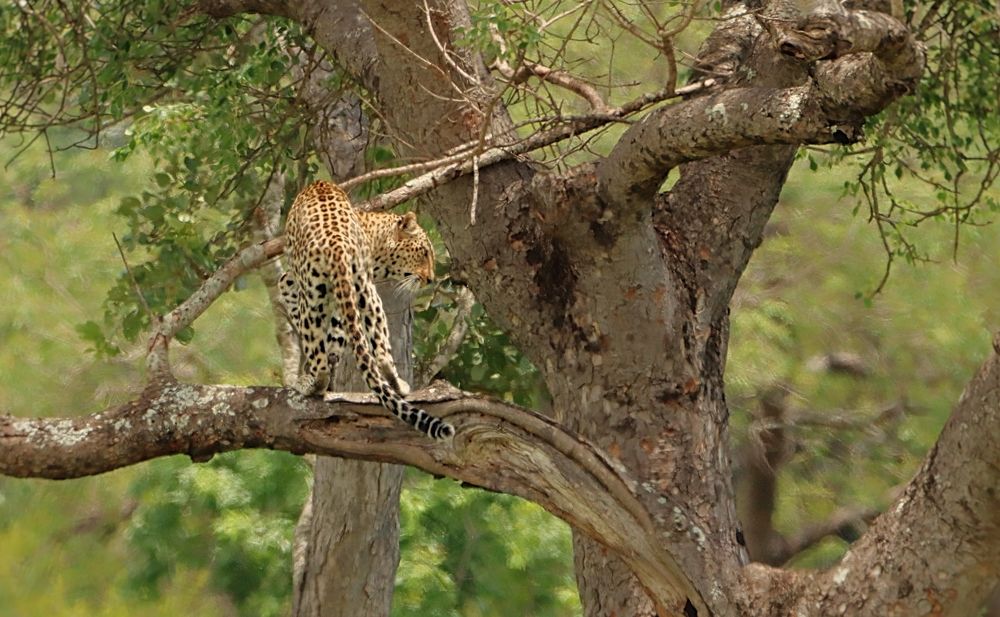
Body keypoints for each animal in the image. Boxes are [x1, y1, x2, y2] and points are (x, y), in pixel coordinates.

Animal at [279, 180, 454, 439]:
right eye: (424, 252)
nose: (431, 279)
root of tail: (336, 243)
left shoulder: (298, 282)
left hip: (318, 296)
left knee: (325, 359)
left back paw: (311, 384)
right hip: (365, 291)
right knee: (379, 353)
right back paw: (395, 384)